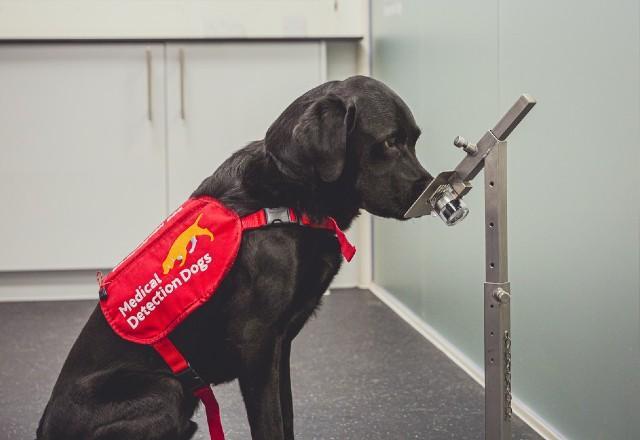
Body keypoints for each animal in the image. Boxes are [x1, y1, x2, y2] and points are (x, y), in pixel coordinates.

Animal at [37, 75, 432, 440]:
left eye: (414, 140)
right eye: (390, 142)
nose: (429, 192)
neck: (287, 197)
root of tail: (44, 430)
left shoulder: (280, 348)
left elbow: (286, 418)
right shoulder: (257, 344)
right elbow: (270, 426)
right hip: (167, 388)